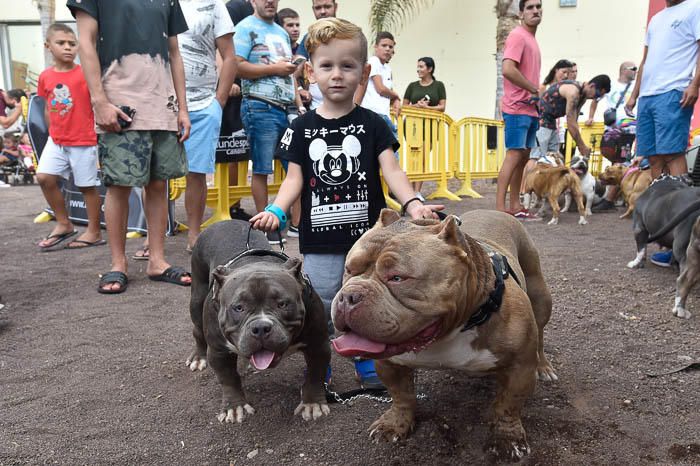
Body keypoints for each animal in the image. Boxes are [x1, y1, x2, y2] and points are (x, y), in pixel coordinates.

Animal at [330, 210, 556, 462]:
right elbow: (401, 396)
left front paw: (508, 439)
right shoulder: (389, 364)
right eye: (349, 269)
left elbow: (508, 405)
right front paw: (395, 424)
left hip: (540, 296)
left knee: (541, 334)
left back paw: (544, 367)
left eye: (397, 278)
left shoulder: (520, 368)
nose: (349, 296)